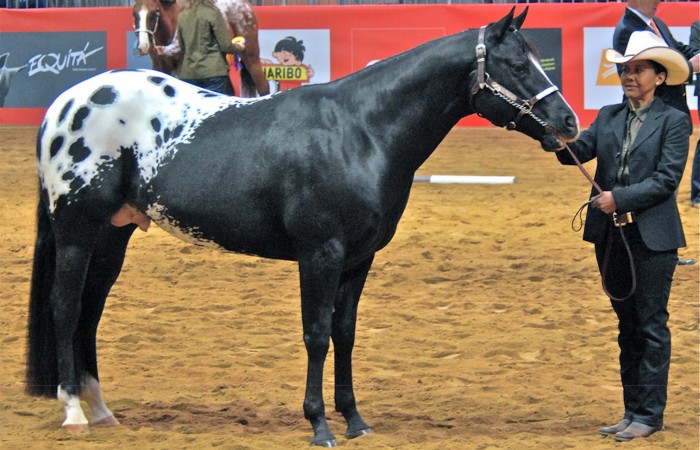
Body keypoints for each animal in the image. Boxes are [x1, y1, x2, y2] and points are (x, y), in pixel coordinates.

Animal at [133, 0, 270, 96]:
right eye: (134, 13)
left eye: (154, 13)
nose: (143, 46)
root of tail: (246, 5)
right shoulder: (159, 66)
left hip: (251, 57)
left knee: (263, 85)